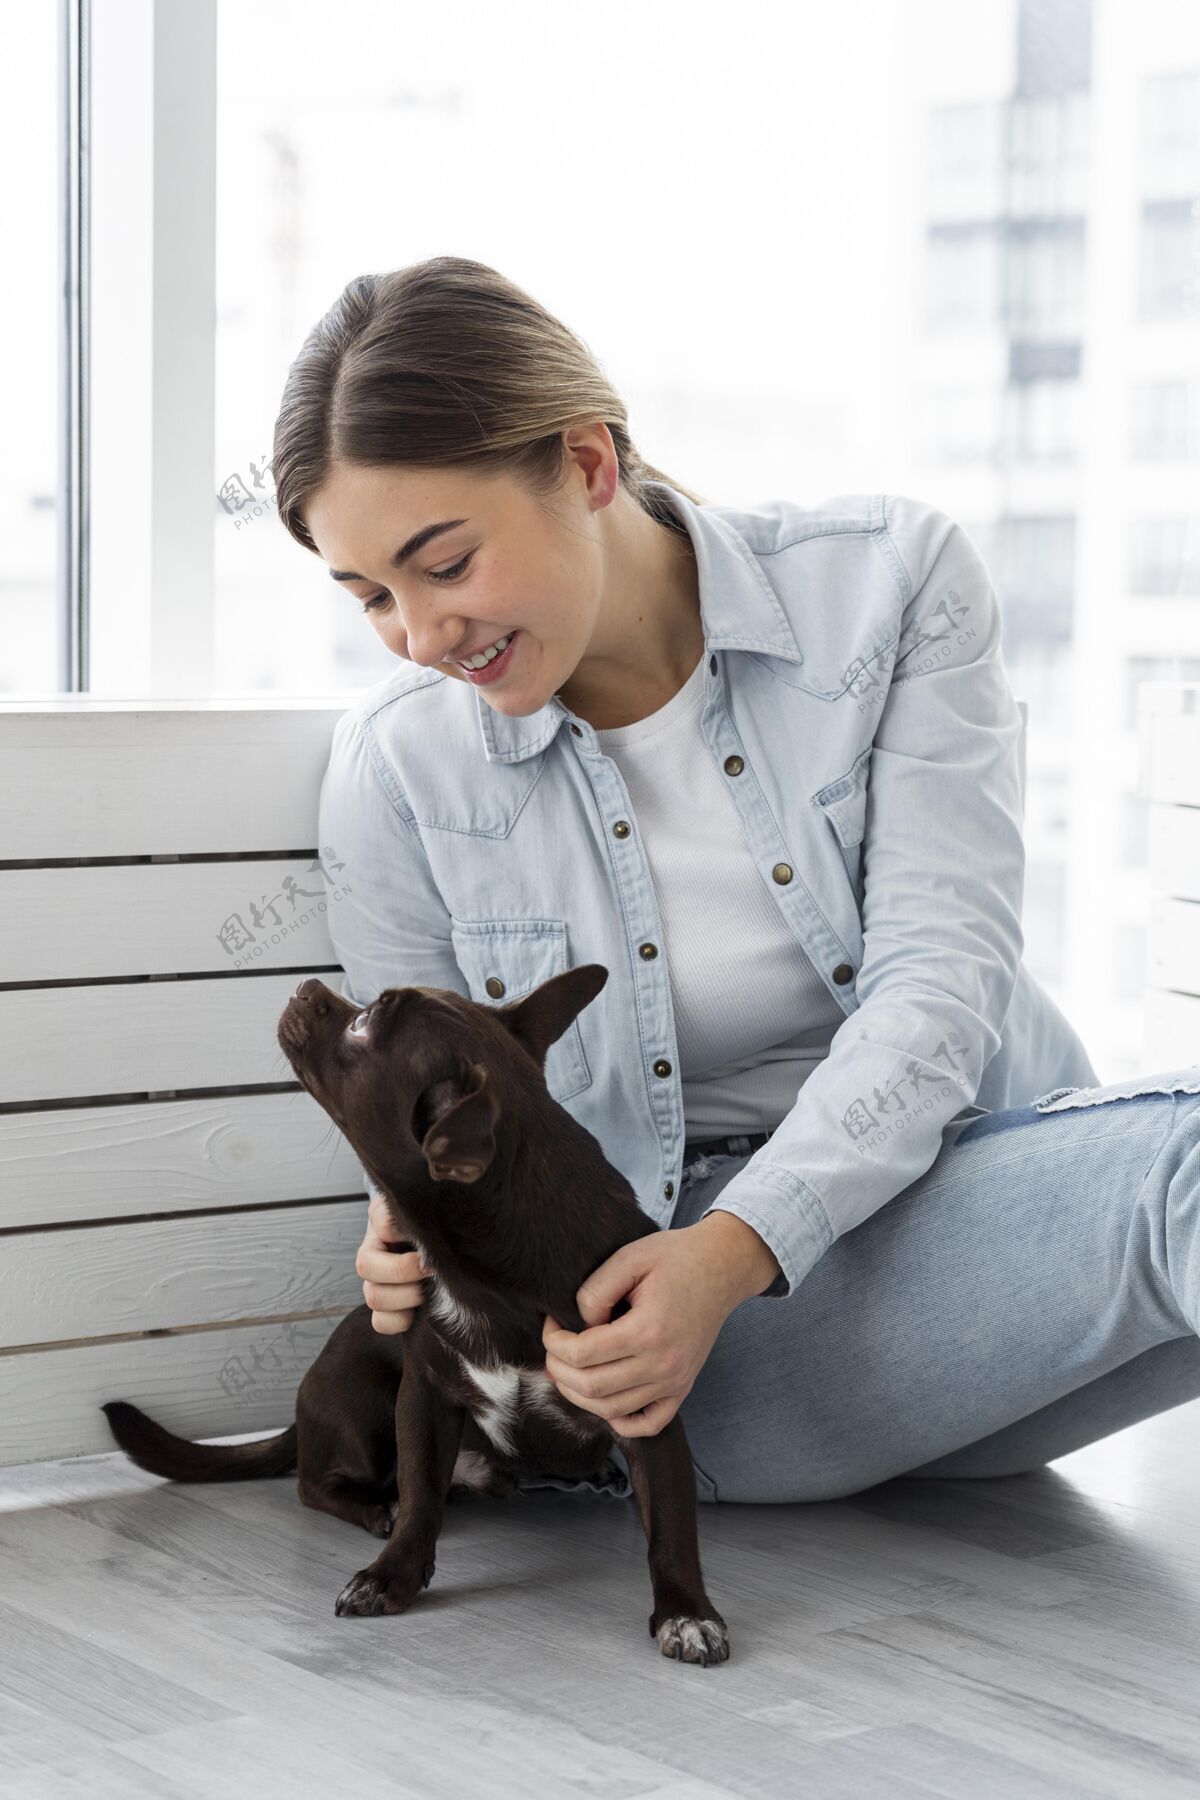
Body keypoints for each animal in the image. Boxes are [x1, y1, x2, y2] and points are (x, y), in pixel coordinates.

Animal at [98, 964, 726, 1663]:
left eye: (364, 1024)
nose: (307, 985)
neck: (489, 1275)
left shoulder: (643, 1408)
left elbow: (670, 1526)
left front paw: (687, 1613)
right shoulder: (423, 1396)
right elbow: (421, 1493)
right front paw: (391, 1576)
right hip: (362, 1404)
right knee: (315, 1483)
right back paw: (377, 1508)